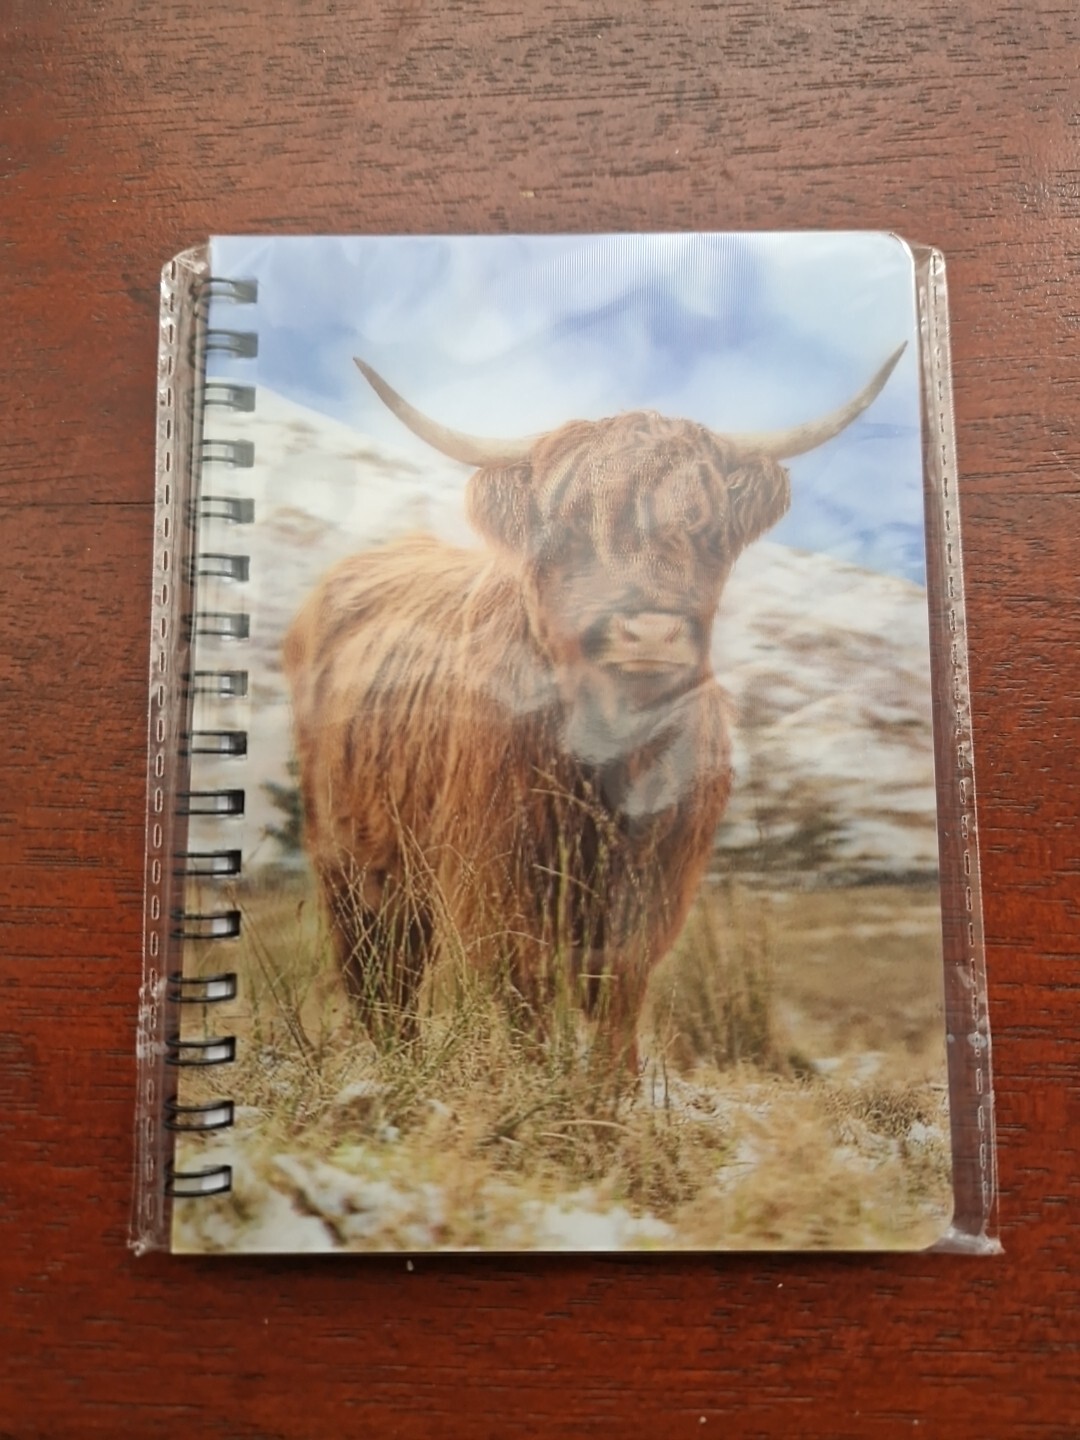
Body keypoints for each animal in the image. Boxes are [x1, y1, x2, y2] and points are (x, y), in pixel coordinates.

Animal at [283, 346, 904, 1068]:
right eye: (572, 529)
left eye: (706, 527)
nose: (650, 632)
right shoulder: (497, 876)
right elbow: (522, 994)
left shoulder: (654, 879)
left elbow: (617, 995)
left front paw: (613, 1090)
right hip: (350, 860)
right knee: (379, 976)